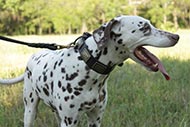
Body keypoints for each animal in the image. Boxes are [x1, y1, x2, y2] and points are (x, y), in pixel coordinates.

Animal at [0, 15, 179, 126]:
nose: (176, 36)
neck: (87, 67)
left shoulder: (95, 118)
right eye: (145, 28)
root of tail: (34, 56)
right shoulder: (70, 120)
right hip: (30, 110)